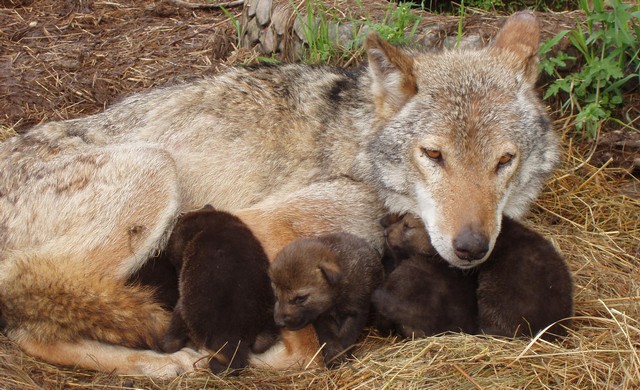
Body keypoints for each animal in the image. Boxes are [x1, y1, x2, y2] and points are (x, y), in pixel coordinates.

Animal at [268, 233, 382, 368]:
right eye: (276, 296)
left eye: (300, 298)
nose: (279, 323)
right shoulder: (322, 318)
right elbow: (328, 338)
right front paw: (333, 356)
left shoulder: (356, 313)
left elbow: (347, 336)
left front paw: (340, 356)